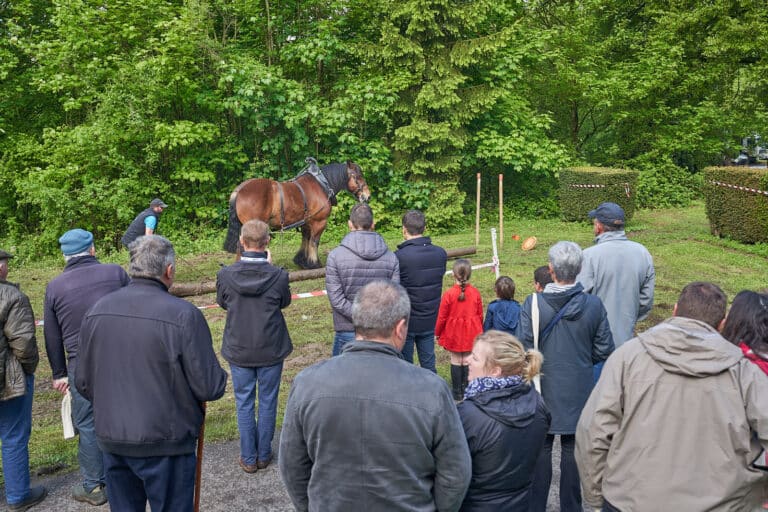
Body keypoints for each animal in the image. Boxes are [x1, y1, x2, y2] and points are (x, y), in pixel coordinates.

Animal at [224, 162, 370, 270]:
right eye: (358, 176)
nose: (367, 196)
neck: (321, 185)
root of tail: (239, 190)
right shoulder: (319, 222)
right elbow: (314, 242)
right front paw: (314, 263)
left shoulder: (306, 222)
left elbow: (305, 239)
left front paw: (302, 261)